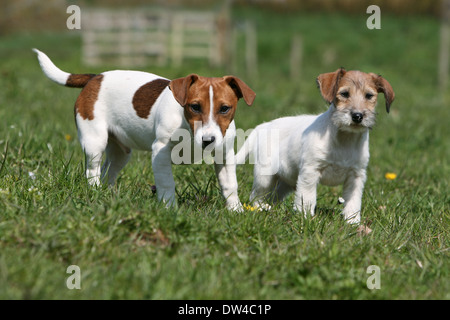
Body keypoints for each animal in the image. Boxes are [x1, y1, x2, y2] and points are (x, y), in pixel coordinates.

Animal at [33, 48, 255, 210]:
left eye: (224, 108)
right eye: (195, 107)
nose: (208, 141)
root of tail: (95, 78)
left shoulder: (225, 155)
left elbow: (230, 185)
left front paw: (236, 210)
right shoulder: (161, 152)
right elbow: (167, 183)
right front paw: (169, 209)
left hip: (121, 152)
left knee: (108, 171)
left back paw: (108, 195)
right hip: (94, 140)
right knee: (93, 170)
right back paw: (95, 192)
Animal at [236, 68, 394, 222]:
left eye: (369, 96)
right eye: (344, 93)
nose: (357, 116)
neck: (344, 138)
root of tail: (262, 127)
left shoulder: (356, 176)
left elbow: (353, 201)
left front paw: (352, 222)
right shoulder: (310, 171)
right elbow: (307, 198)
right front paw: (305, 218)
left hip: (287, 180)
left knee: (275, 196)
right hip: (265, 176)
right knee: (256, 195)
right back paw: (260, 208)